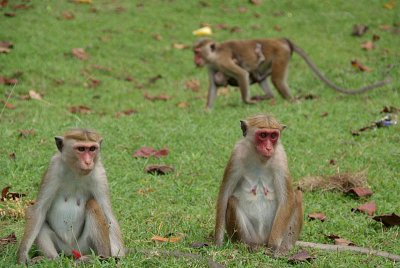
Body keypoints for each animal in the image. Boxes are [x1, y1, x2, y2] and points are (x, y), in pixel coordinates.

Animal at [16, 128, 125, 264]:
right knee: (40, 221)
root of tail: (70, 252)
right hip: (61, 247)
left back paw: (98, 258)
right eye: (81, 149)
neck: (75, 172)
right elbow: (38, 211)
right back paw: (52, 259)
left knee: (93, 204)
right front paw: (22, 258)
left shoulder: (99, 174)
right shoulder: (53, 168)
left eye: (92, 149)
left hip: (84, 246)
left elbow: (109, 216)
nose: (88, 162)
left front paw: (119, 255)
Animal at [194, 38, 390, 109]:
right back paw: (269, 95)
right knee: (262, 76)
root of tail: (280, 40)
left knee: (276, 80)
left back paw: (291, 100)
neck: (214, 55)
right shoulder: (211, 66)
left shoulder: (222, 61)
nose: (195, 60)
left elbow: (242, 74)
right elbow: (213, 85)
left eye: (197, 52)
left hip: (281, 55)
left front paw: (247, 101)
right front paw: (207, 110)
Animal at [216, 113, 304, 255]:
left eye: (273, 136)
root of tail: (262, 241)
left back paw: (284, 248)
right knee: (232, 201)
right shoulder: (236, 153)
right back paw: (248, 244)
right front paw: (217, 243)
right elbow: (224, 195)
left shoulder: (280, 156)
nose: (268, 148)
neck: (259, 157)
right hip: (253, 235)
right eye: (263, 135)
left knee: (297, 195)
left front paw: (273, 247)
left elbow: (287, 199)